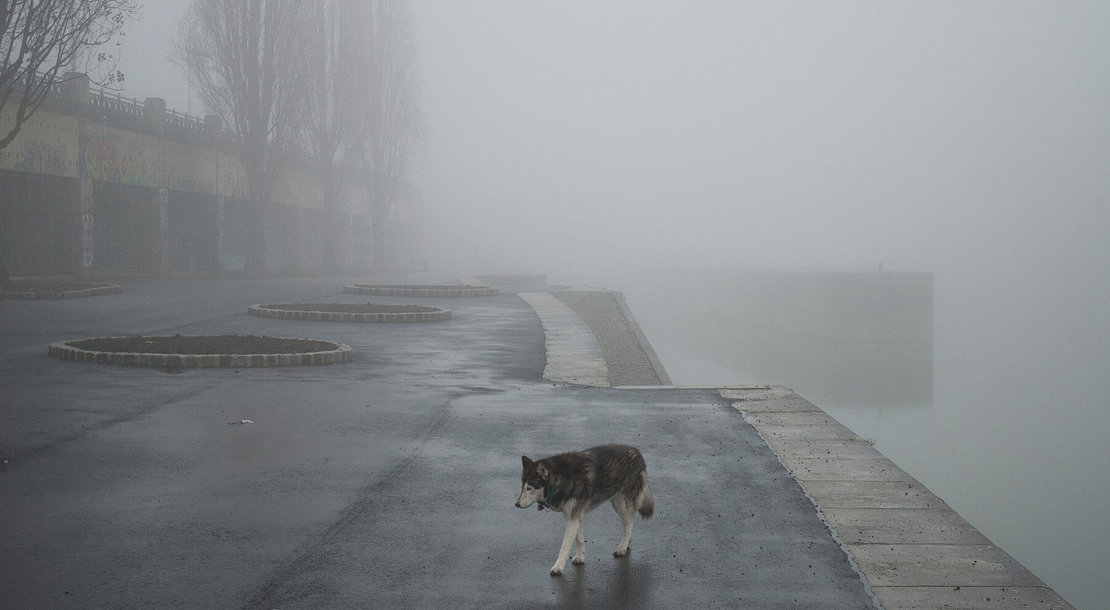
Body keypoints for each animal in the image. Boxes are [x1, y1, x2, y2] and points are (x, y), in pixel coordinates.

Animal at [515, 448, 652, 576]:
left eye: (529, 488)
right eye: (522, 487)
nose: (517, 504)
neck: (560, 478)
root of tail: (637, 452)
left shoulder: (572, 519)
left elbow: (564, 547)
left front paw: (558, 567)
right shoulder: (575, 518)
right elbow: (579, 540)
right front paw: (581, 556)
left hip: (621, 504)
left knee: (629, 524)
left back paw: (622, 547)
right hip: (616, 504)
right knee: (628, 522)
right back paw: (626, 543)